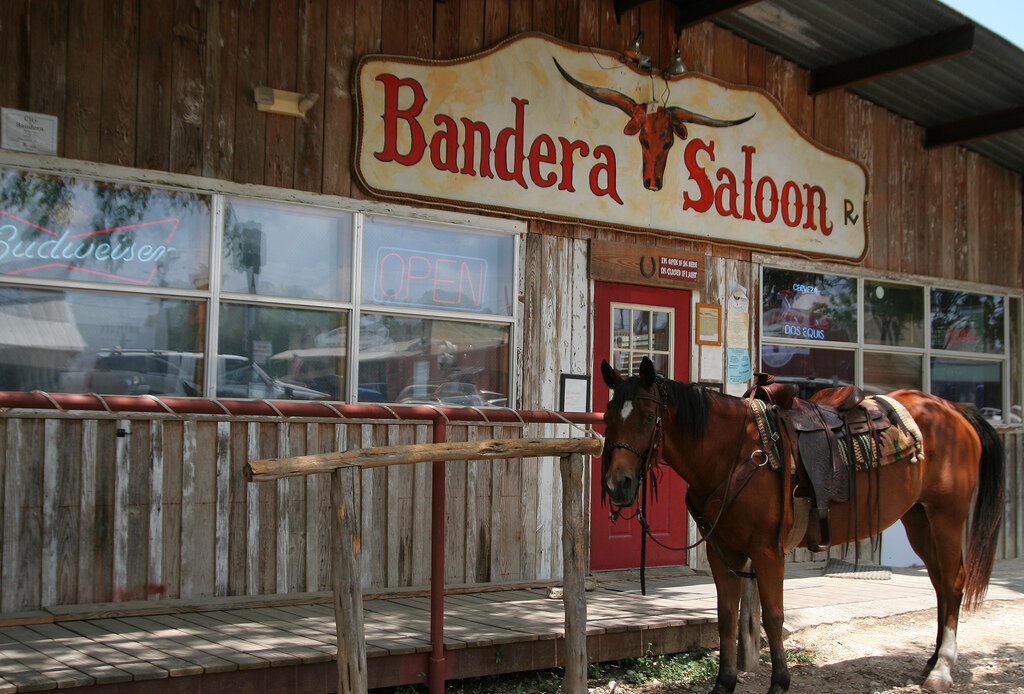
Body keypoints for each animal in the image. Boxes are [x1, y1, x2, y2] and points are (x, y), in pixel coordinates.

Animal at [598, 358, 1003, 694]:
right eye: (609, 417)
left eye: (648, 418)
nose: (618, 485)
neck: (731, 452)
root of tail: (954, 410)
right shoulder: (721, 551)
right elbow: (726, 617)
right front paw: (724, 683)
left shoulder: (767, 550)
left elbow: (773, 616)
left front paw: (780, 682)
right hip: (918, 518)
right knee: (939, 583)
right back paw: (931, 662)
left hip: (947, 517)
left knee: (953, 583)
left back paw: (943, 670)